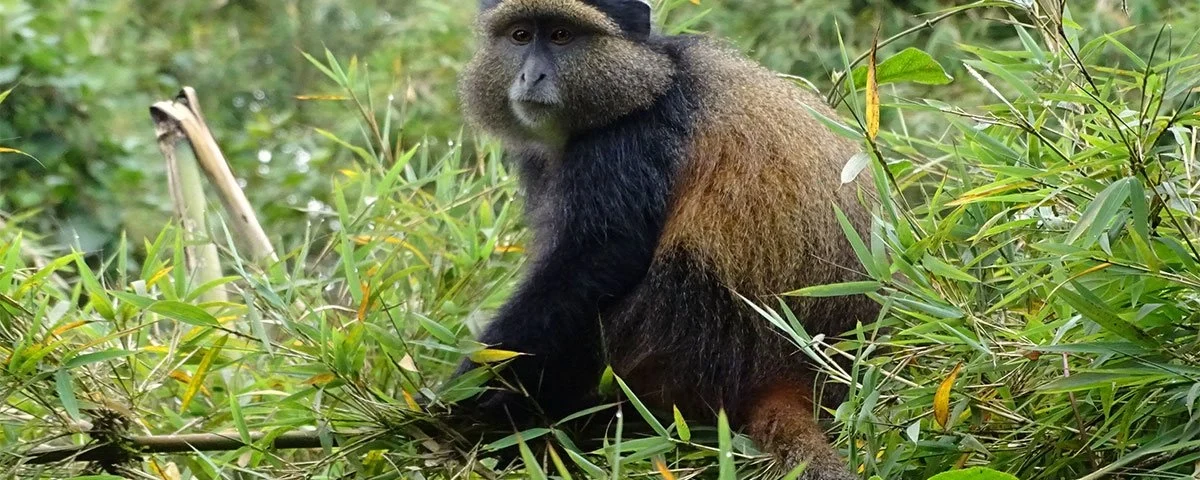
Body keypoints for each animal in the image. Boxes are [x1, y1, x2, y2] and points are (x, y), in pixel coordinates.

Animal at [453, 0, 878, 478]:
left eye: (562, 35)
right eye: (521, 35)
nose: (532, 76)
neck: (647, 82)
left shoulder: (630, 142)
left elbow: (596, 259)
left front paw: (461, 393)